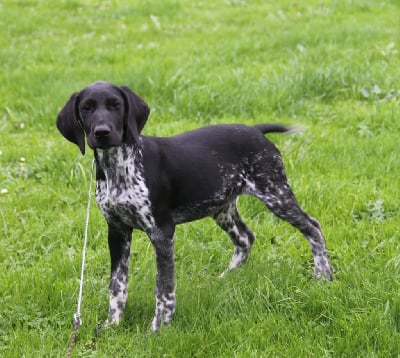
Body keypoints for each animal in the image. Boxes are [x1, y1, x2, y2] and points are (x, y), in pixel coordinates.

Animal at [56, 81, 332, 332]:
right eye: (87, 108)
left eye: (116, 105)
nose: (101, 132)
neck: (119, 167)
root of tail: (255, 130)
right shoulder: (117, 231)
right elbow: (117, 284)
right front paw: (112, 323)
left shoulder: (162, 233)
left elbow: (164, 288)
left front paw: (160, 327)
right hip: (221, 206)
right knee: (245, 238)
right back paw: (226, 279)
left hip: (275, 193)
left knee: (313, 228)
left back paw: (323, 276)